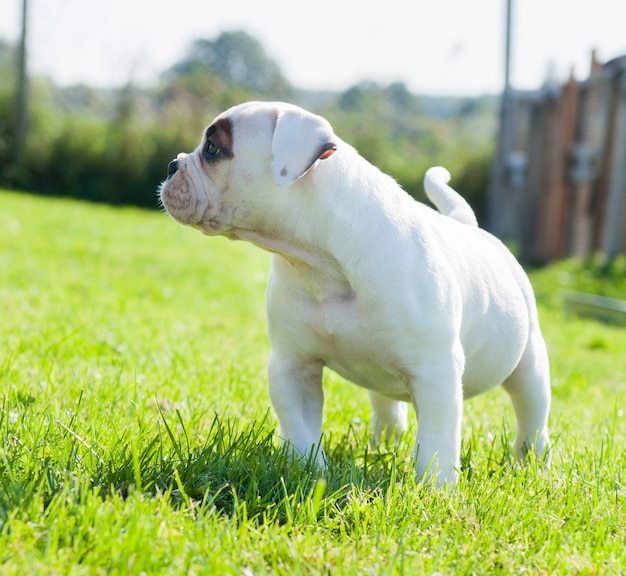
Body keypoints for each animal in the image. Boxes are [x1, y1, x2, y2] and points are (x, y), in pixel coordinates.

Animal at [158, 101, 548, 484]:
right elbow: (300, 426)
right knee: (388, 405)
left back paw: (531, 464)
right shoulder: (293, 364)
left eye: (213, 149)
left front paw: (435, 487)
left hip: (529, 364)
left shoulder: (435, 372)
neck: (321, 263)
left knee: (532, 415)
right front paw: (308, 470)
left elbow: (437, 439)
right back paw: (384, 445)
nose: (172, 164)